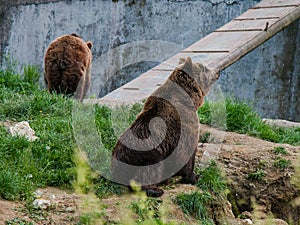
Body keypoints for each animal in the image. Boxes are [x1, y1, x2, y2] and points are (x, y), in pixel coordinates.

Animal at [111, 56, 219, 197]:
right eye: (204, 68)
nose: (217, 72)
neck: (190, 97)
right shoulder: (184, 123)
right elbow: (186, 151)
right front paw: (194, 176)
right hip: (145, 154)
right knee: (150, 170)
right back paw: (155, 190)